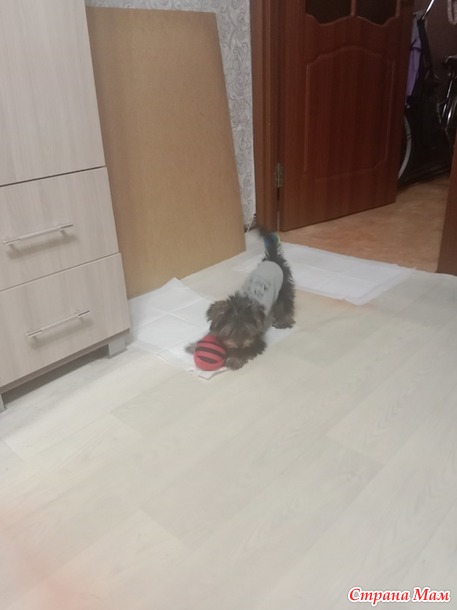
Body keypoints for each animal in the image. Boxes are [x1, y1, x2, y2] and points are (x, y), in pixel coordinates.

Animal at [191, 228, 295, 370]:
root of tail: (272, 259)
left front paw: (234, 360)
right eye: (230, 332)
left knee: (285, 303)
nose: (239, 344)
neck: (241, 302)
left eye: (247, 332)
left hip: (283, 286)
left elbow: (247, 350)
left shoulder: (255, 339)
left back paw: (283, 321)